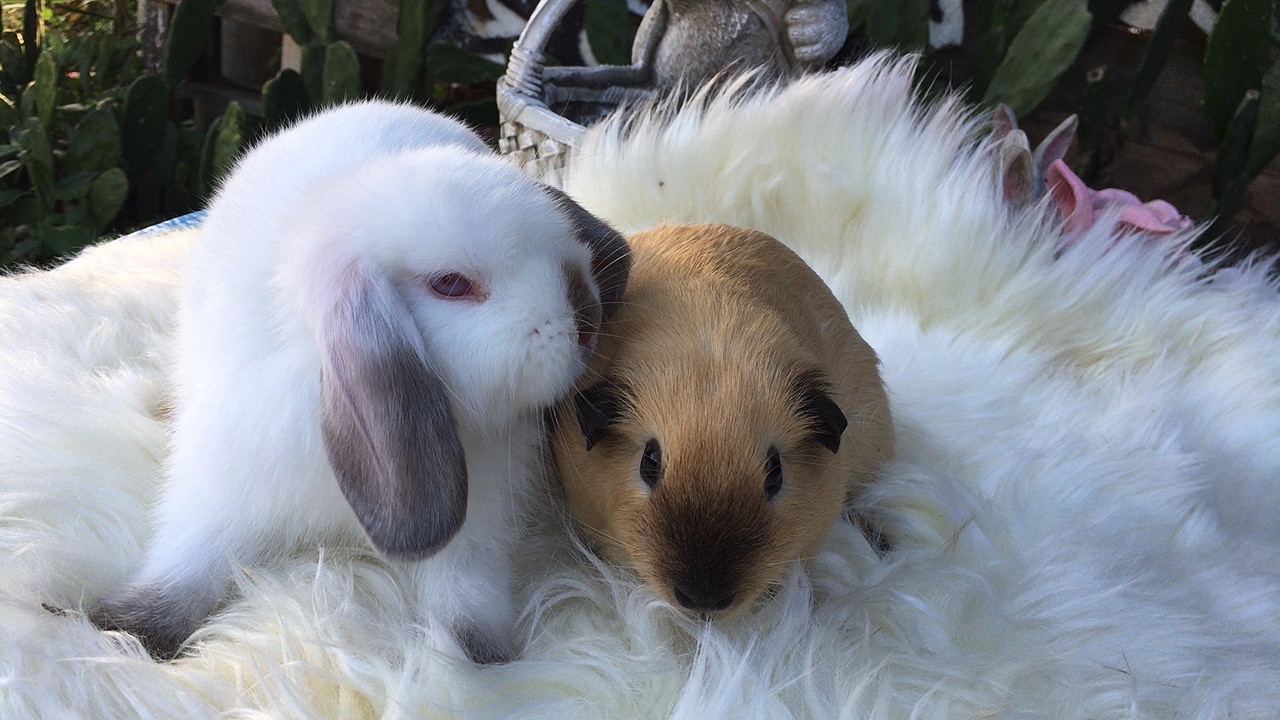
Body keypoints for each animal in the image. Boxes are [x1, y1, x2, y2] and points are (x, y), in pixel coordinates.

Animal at [88, 101, 631, 664]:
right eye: (451, 284)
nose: (587, 320)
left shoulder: (474, 525)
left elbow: (465, 601)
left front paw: (474, 662)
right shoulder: (219, 491)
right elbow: (187, 565)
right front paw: (126, 629)